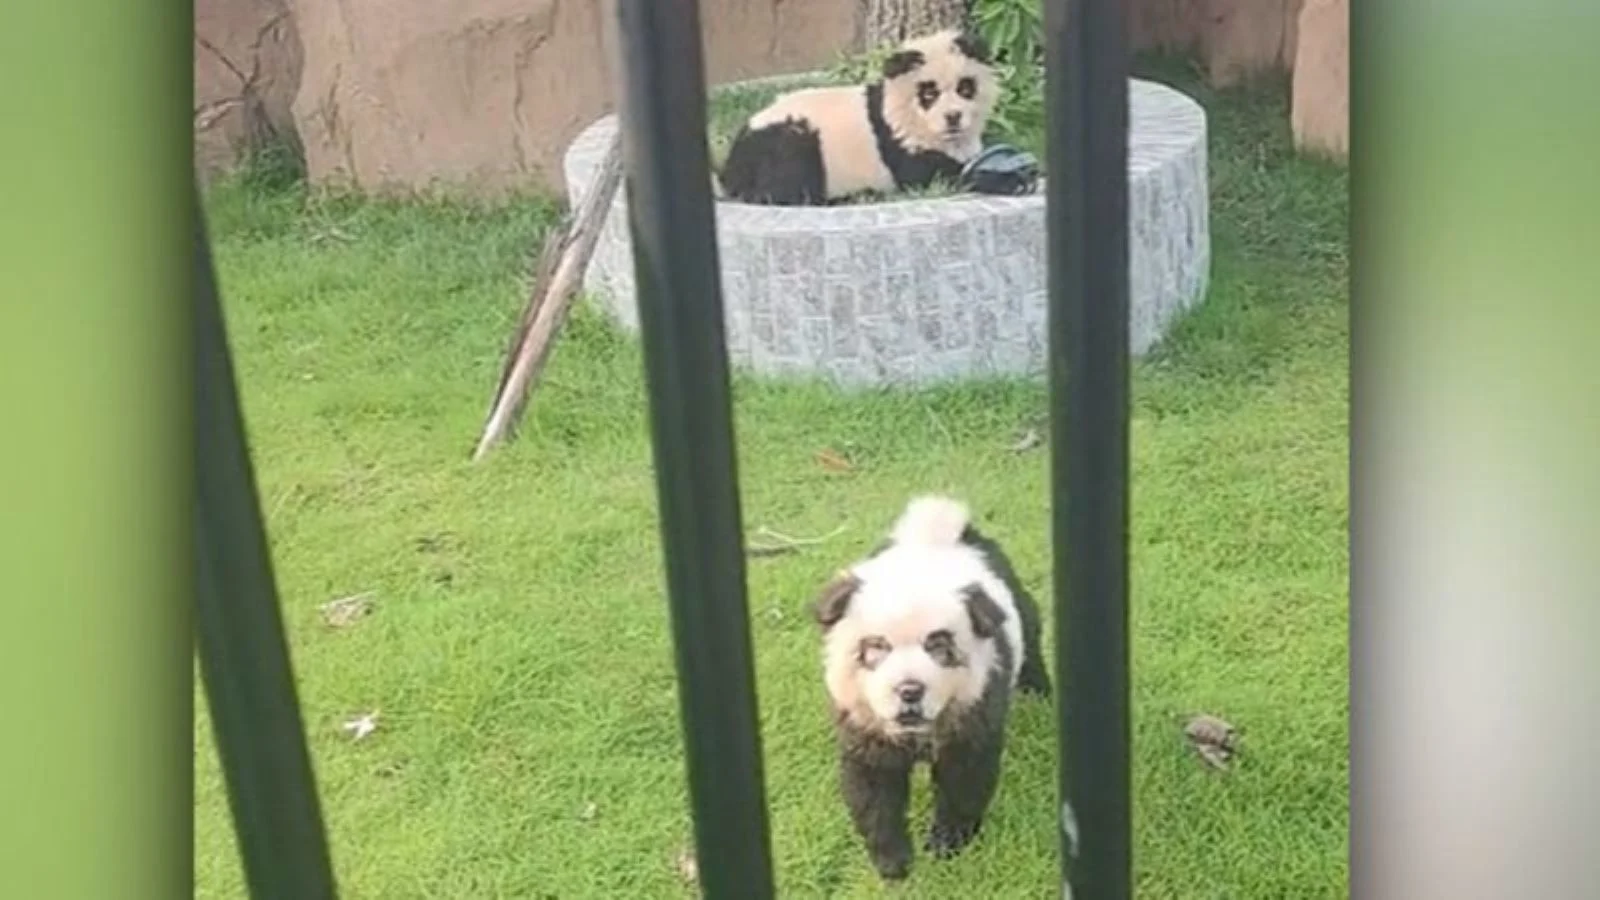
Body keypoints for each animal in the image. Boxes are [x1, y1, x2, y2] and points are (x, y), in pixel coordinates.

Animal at [716, 28, 992, 204]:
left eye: (965, 88)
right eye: (929, 94)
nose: (953, 117)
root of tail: (732, 166)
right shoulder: (900, 139)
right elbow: (929, 175)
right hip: (790, 137)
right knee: (783, 182)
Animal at [812, 490, 1049, 877]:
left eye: (938, 647)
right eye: (875, 647)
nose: (909, 690)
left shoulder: (973, 709)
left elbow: (963, 779)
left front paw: (946, 845)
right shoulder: (865, 726)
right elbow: (873, 790)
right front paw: (893, 863)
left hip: (1015, 601)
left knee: (1031, 636)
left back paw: (1038, 692)